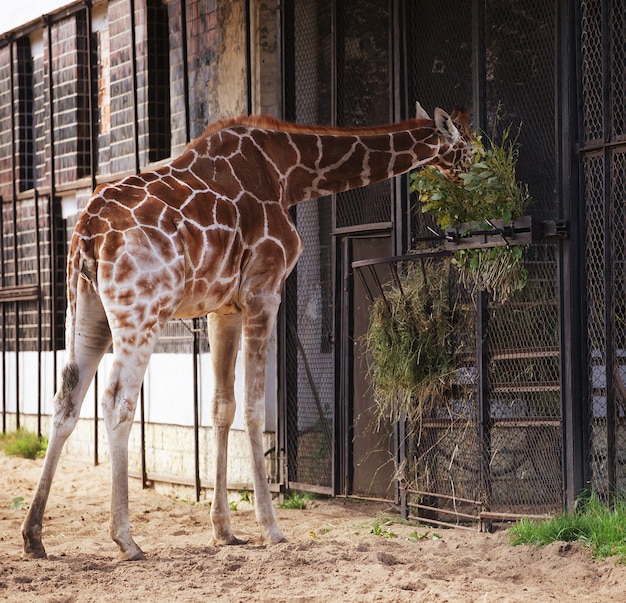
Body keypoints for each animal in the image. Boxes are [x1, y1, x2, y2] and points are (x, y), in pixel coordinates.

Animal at [20, 104, 468, 560]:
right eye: (467, 143)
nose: (470, 176)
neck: (288, 172)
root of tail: (87, 233)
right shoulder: (263, 290)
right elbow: (254, 407)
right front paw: (271, 527)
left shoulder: (224, 308)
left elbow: (222, 407)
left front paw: (223, 530)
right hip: (140, 312)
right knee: (117, 402)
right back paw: (126, 539)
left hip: (86, 310)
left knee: (66, 400)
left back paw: (34, 536)